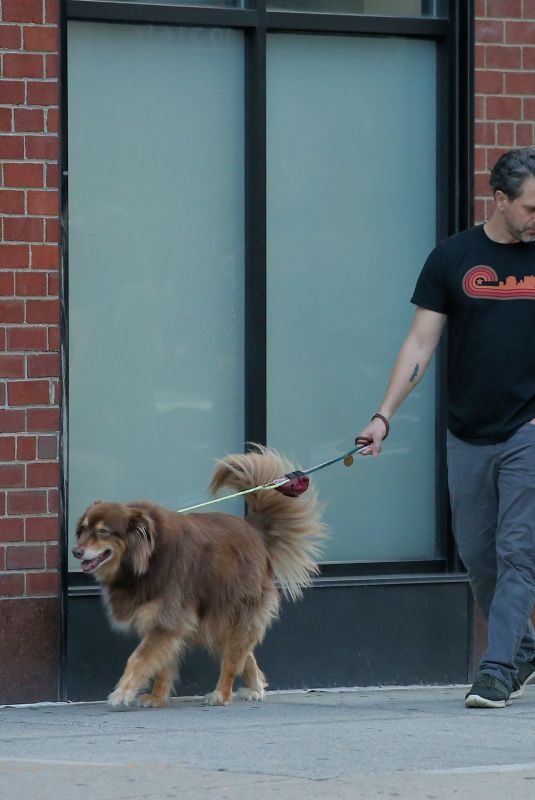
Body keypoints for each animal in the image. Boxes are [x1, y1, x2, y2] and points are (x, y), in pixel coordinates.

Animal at [73, 446, 324, 708]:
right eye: (83, 529)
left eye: (102, 531)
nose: (75, 551)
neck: (148, 557)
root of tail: (254, 532)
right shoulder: (163, 623)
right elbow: (162, 664)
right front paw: (157, 697)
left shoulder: (168, 618)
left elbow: (139, 659)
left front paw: (122, 693)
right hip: (219, 618)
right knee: (244, 654)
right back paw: (255, 687)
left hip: (234, 611)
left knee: (232, 660)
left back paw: (221, 694)